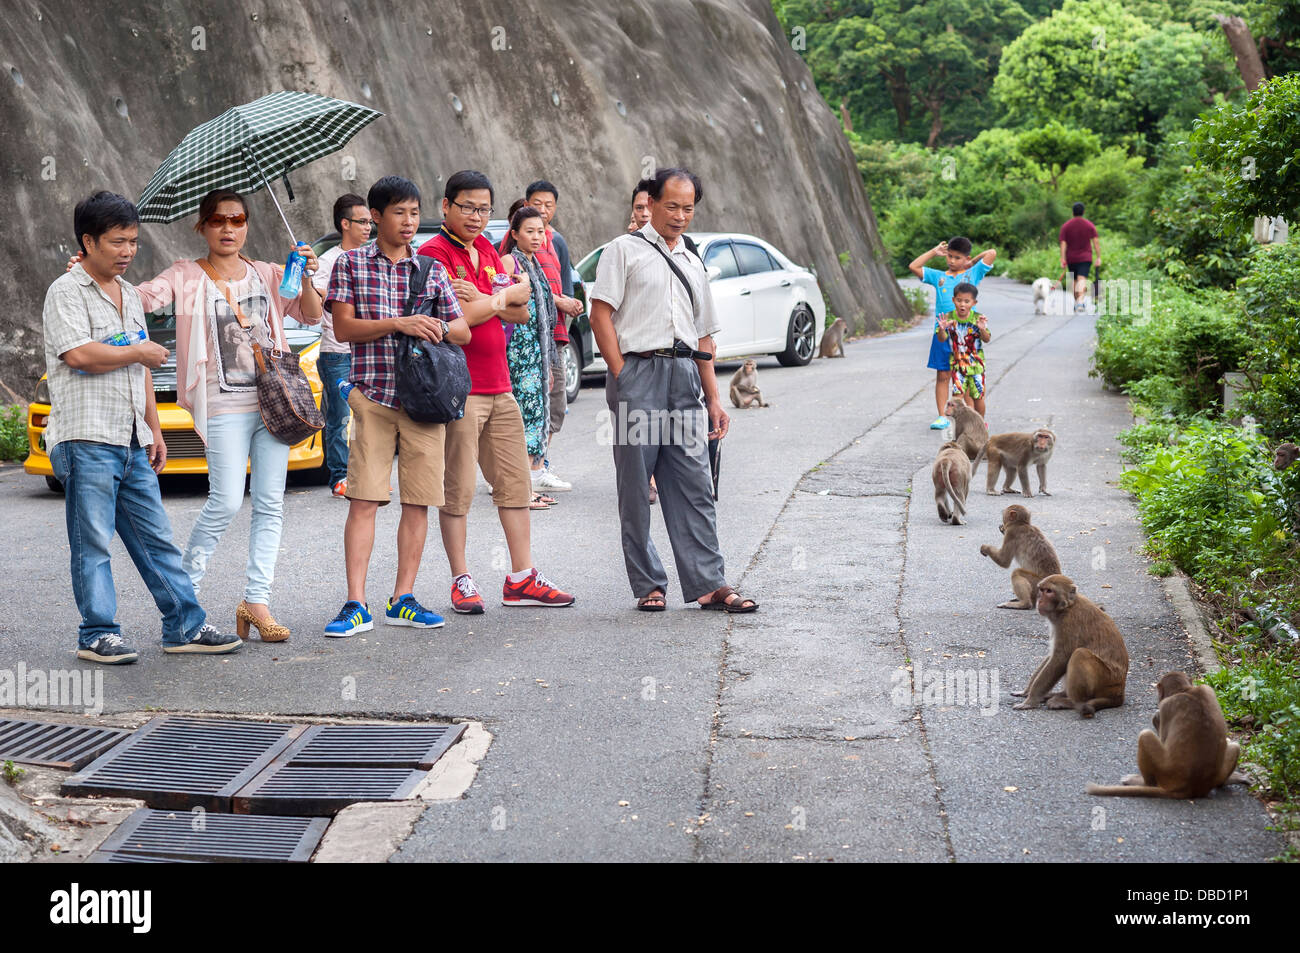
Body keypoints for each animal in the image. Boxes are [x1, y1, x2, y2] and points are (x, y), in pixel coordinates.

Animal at [1008, 572, 1123, 712]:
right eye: (1042, 590)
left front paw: (1030, 701)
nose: (1040, 601)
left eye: (1049, 591)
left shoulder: (1069, 622)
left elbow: (1060, 658)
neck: (1067, 607)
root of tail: (1119, 693)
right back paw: (1058, 695)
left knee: (1080, 654)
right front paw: (1025, 692)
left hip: (1106, 680)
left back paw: (1070, 702)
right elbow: (1052, 656)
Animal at [1086, 670, 1248, 800]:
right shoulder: (1207, 690)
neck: (1185, 690)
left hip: (1164, 773)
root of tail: (1192, 789)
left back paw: (1143, 783)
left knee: (1145, 735)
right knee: (1234, 745)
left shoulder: (1166, 706)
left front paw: (1156, 718)